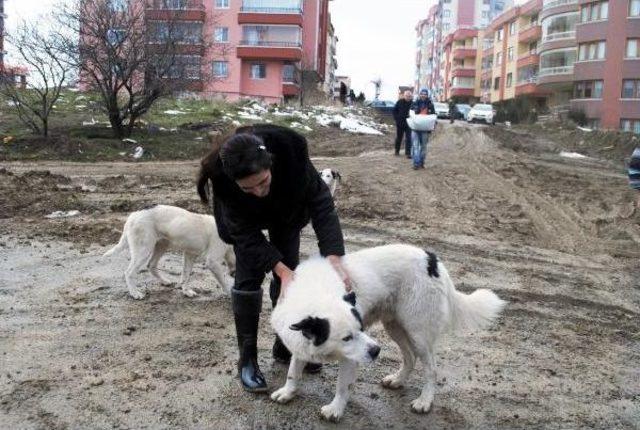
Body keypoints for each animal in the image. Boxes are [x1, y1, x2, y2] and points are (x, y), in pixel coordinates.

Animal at [102, 205, 235, 298]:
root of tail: (133, 215)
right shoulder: (212, 262)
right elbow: (223, 281)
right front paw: (229, 293)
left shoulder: (189, 254)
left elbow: (186, 275)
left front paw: (186, 291)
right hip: (143, 250)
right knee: (129, 273)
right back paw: (135, 293)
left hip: (162, 245)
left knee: (151, 265)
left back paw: (164, 281)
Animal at [270, 244, 504, 422]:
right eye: (346, 338)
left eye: (361, 328)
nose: (376, 351)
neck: (315, 295)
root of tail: (432, 260)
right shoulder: (300, 343)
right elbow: (293, 371)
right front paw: (288, 391)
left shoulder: (350, 358)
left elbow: (342, 386)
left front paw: (335, 409)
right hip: (394, 326)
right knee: (410, 358)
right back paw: (398, 380)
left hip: (418, 332)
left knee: (431, 369)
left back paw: (424, 401)